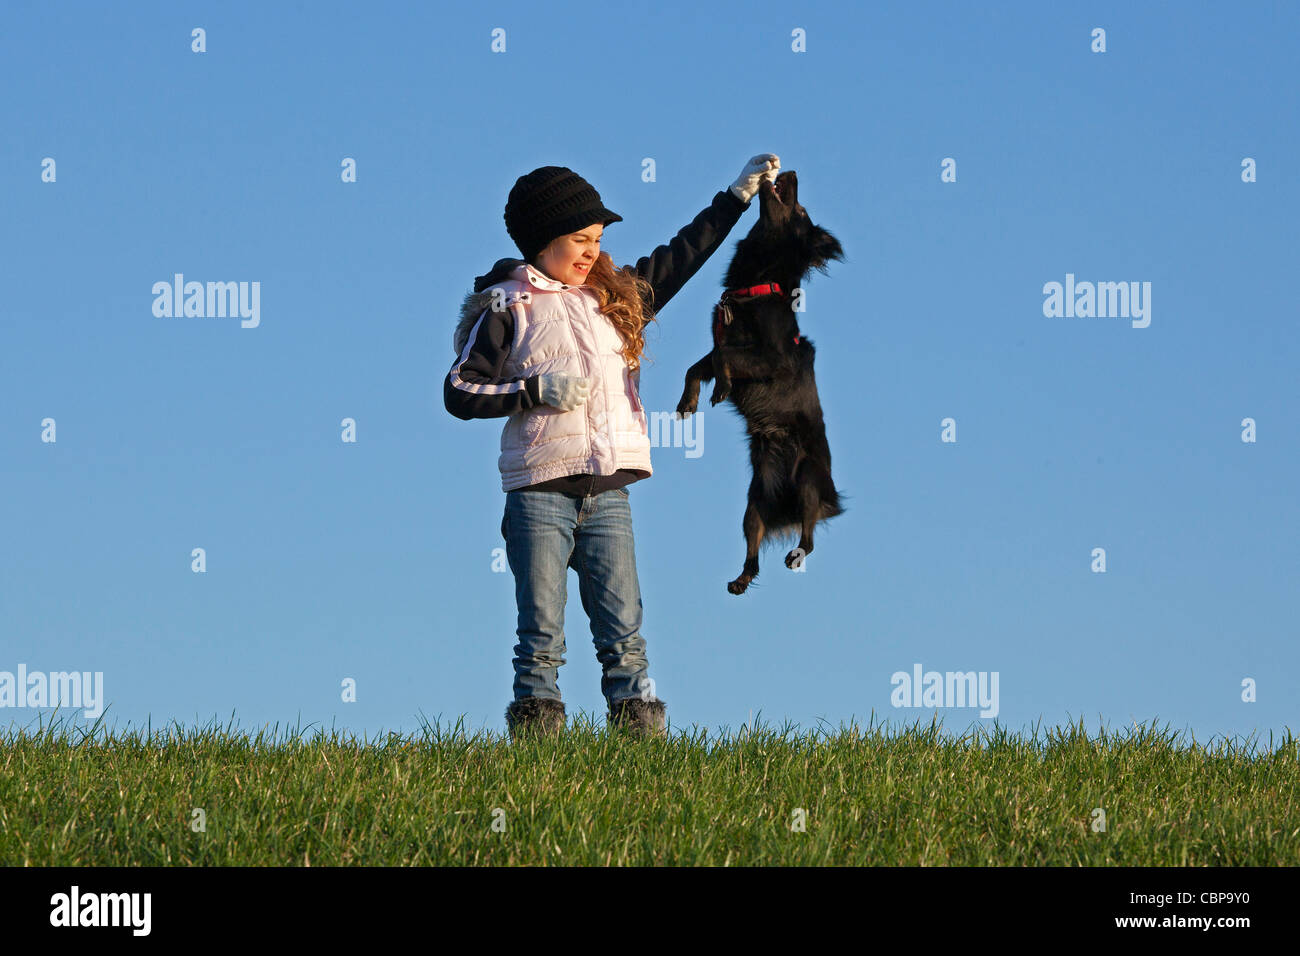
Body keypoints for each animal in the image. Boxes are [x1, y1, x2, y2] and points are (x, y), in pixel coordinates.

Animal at [676, 167, 847, 595]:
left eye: (800, 210)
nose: (791, 172)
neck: (756, 285)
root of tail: (784, 507)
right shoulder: (723, 340)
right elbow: (697, 366)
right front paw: (687, 403)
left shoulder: (773, 358)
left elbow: (722, 360)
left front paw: (719, 388)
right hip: (754, 503)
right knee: (753, 548)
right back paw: (740, 579)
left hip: (808, 479)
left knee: (809, 534)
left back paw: (795, 553)